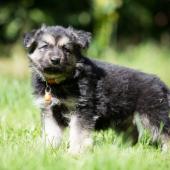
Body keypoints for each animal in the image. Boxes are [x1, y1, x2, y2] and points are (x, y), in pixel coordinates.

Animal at [23, 25, 170, 154]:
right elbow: (51, 132)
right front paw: (48, 150)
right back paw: (123, 150)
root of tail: (162, 84)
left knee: (165, 133)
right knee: (133, 133)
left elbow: (78, 133)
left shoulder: (81, 110)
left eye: (66, 49)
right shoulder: (50, 111)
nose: (55, 60)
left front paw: (75, 152)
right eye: (45, 46)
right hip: (124, 118)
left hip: (153, 115)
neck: (60, 81)